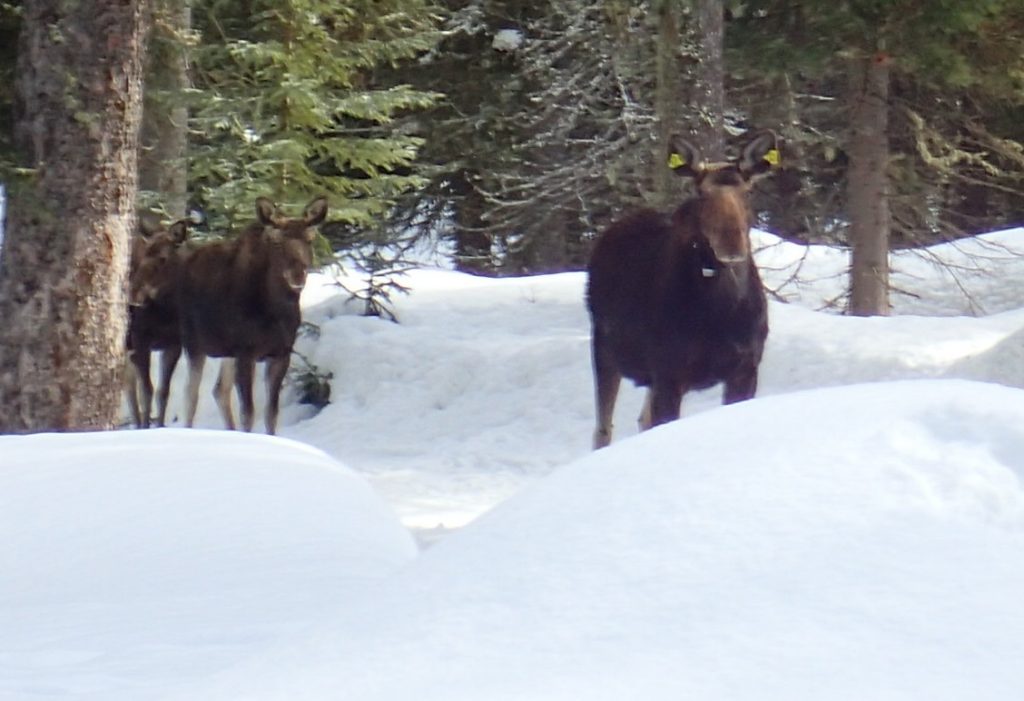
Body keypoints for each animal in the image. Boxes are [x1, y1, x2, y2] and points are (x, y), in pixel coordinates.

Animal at [176, 196, 328, 435]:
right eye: (276, 242)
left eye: (310, 240)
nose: (298, 274)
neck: (276, 312)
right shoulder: (246, 353)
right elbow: (248, 413)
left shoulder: (280, 354)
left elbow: (271, 414)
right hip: (194, 342)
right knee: (191, 396)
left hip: (227, 351)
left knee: (219, 390)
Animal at [586, 130, 779, 449]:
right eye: (700, 192)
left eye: (748, 191)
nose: (731, 243)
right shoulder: (668, 371)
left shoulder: (746, 368)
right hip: (605, 349)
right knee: (603, 428)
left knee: (641, 418)